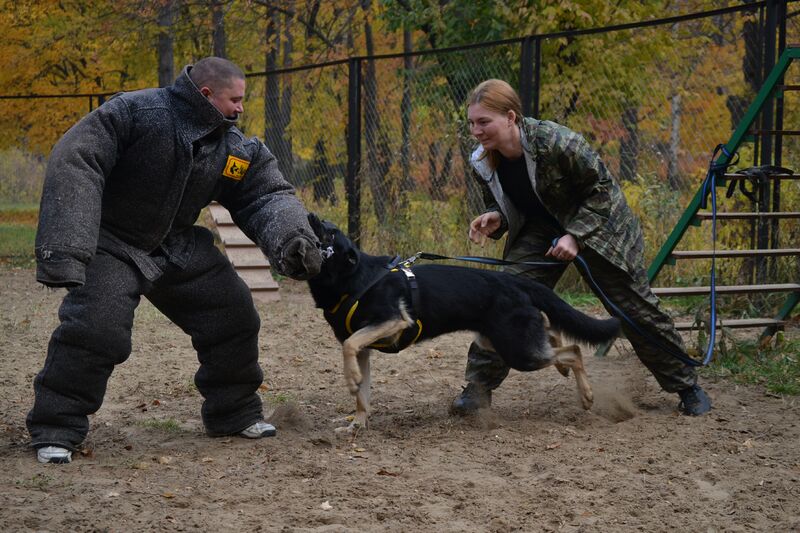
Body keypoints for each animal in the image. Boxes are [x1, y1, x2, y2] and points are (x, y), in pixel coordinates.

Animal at [306, 214, 620, 430]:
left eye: (330, 232)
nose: (310, 214)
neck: (355, 278)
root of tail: (513, 280)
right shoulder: (367, 348)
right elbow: (362, 393)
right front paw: (357, 424)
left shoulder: (393, 321)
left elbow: (348, 345)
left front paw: (351, 380)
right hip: (497, 341)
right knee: (552, 333)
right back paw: (565, 370)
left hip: (518, 351)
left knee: (573, 351)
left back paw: (587, 395)